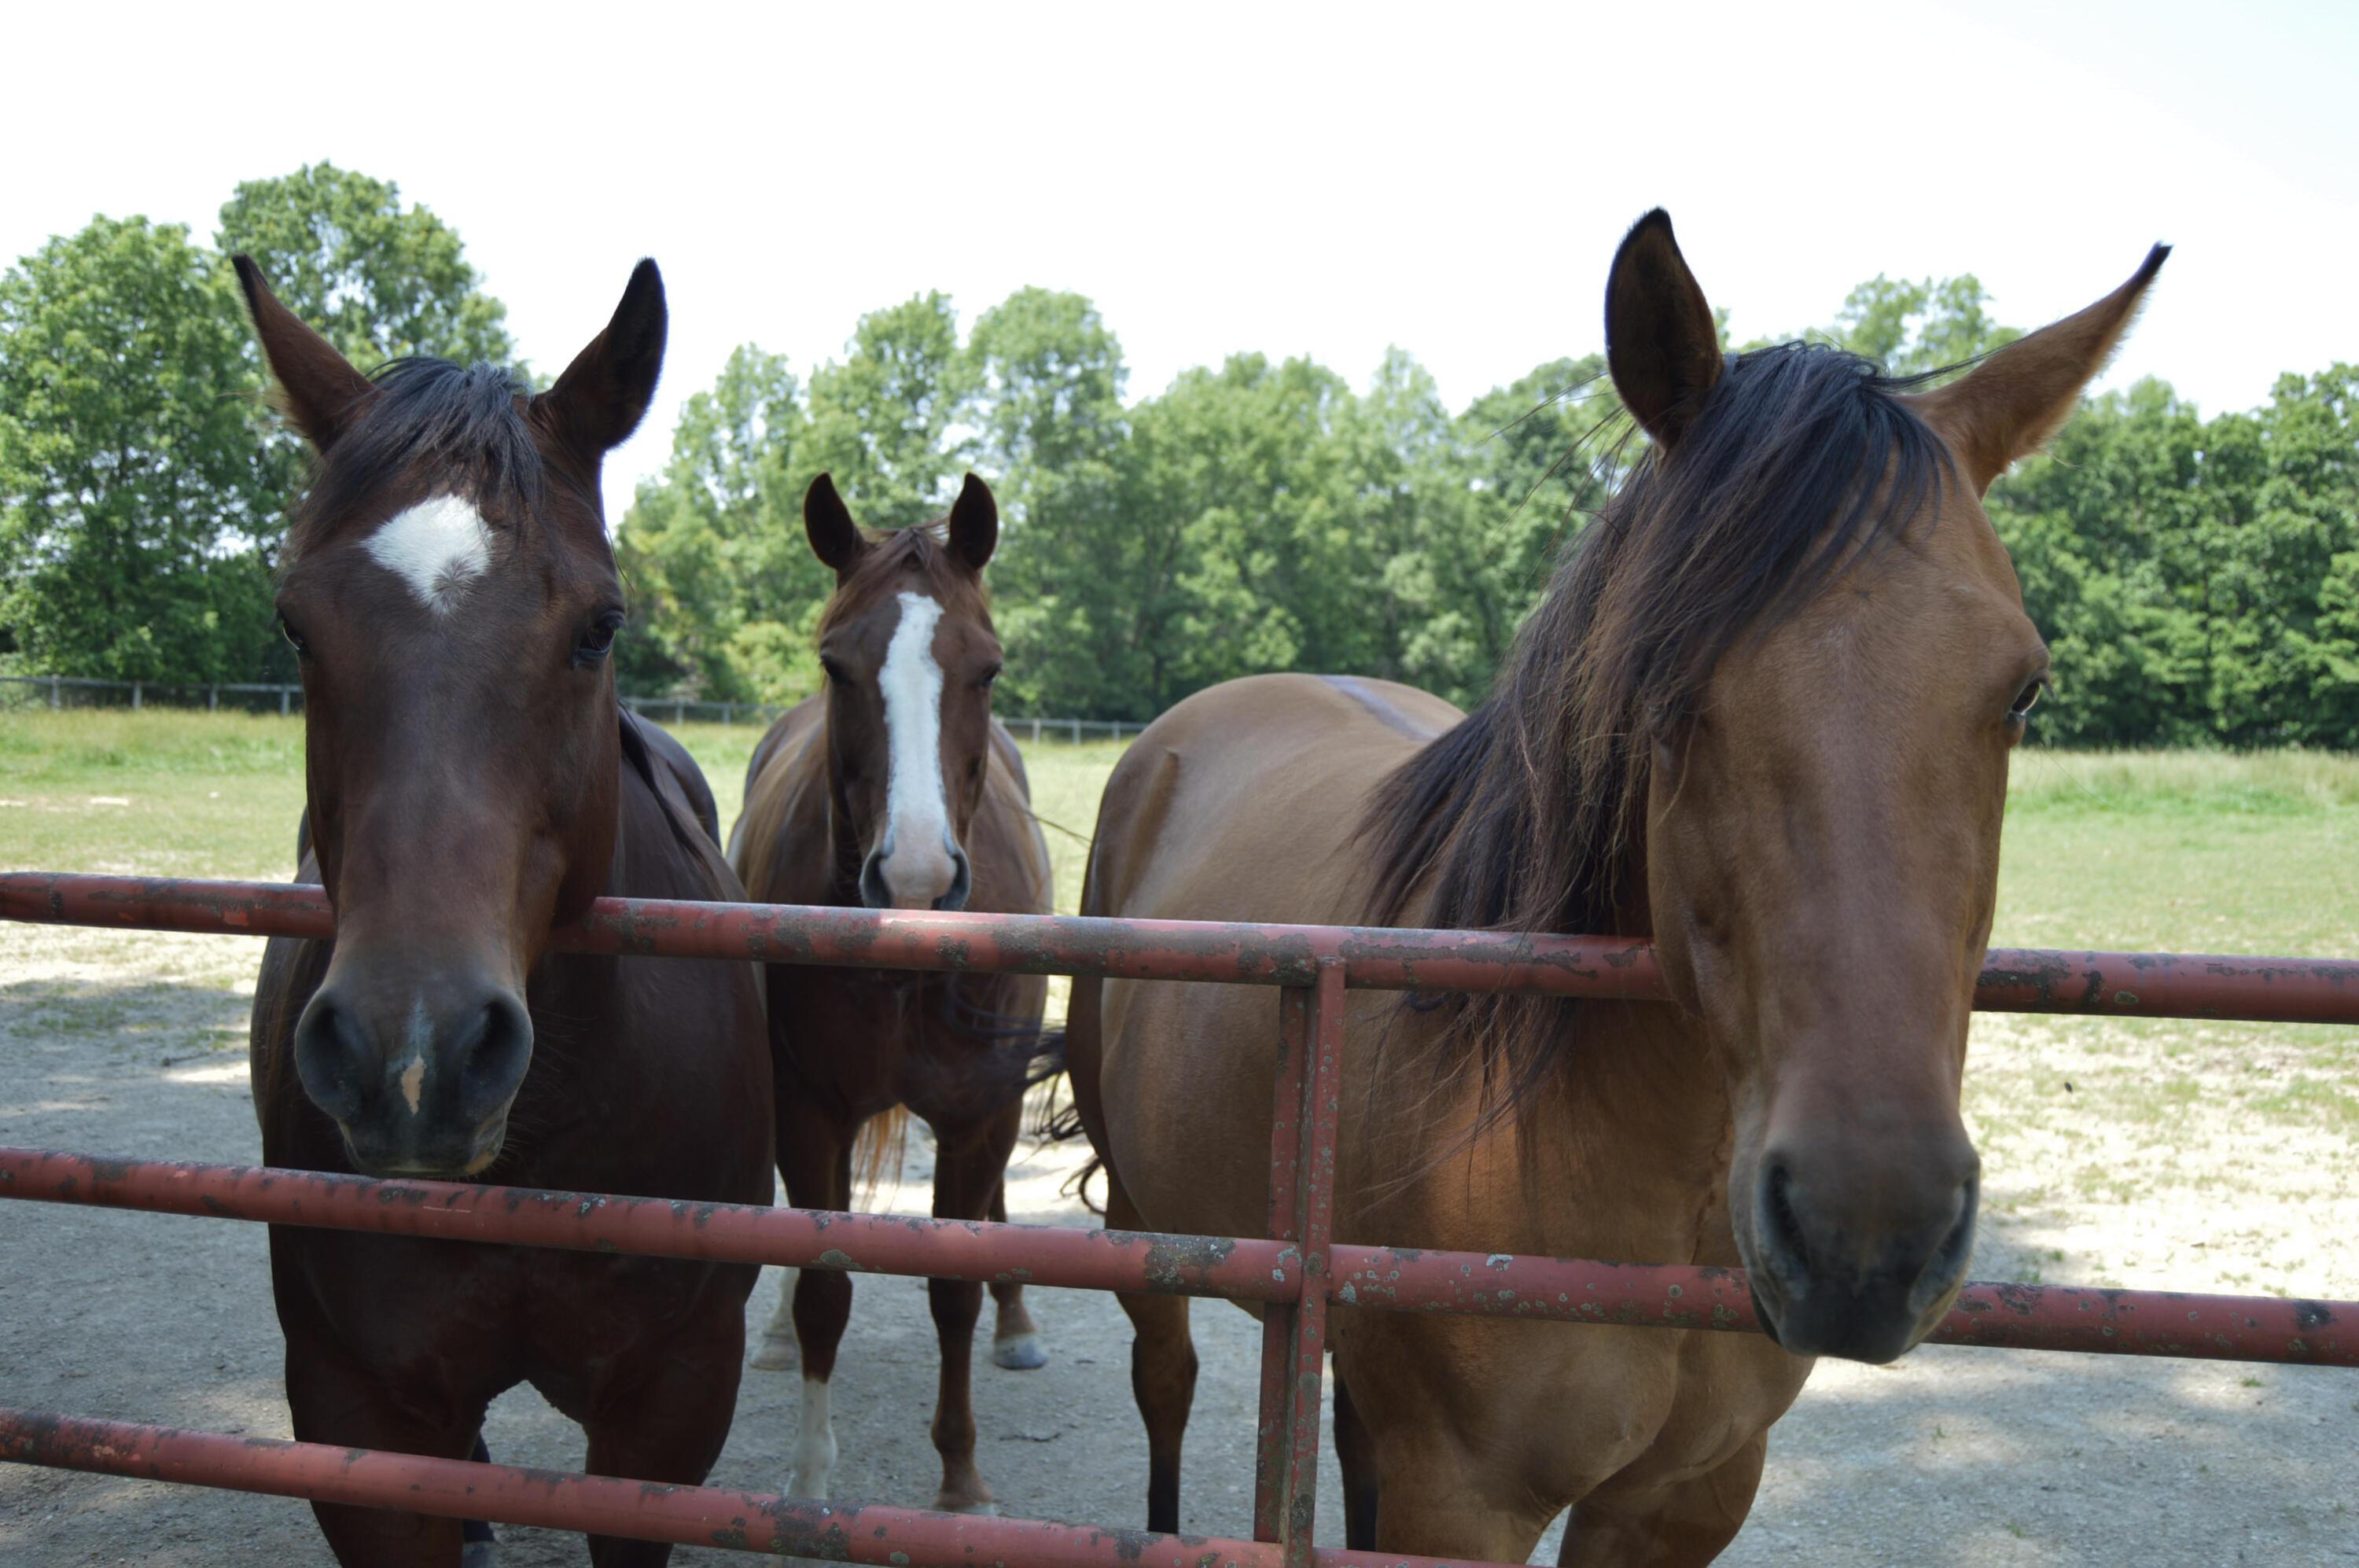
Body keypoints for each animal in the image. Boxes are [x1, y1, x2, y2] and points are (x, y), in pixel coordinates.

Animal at [728, 471, 1058, 1516]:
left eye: (987, 670)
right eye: (836, 666)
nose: (914, 876)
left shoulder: (982, 1109)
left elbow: (954, 1284)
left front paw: (961, 1477)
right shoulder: (809, 1110)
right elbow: (825, 1280)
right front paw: (807, 1478)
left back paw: (1017, 1323)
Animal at [1065, 211, 2167, 1566]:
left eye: (2022, 691)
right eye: (1662, 683)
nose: (1866, 1232)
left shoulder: (1685, 1496)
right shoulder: (1464, 1504)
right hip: (1146, 1222)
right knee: (1163, 1380)